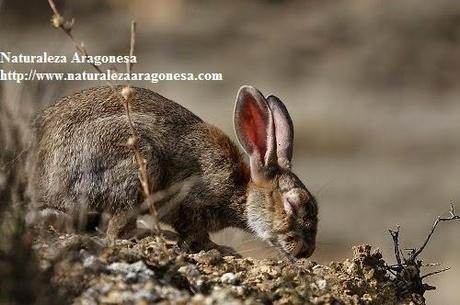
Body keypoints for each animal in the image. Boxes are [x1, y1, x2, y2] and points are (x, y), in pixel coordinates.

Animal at [27, 84, 316, 258]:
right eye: (293, 204)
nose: (306, 251)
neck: (241, 192)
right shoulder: (190, 205)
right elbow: (195, 234)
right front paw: (220, 249)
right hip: (134, 167)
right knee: (116, 230)